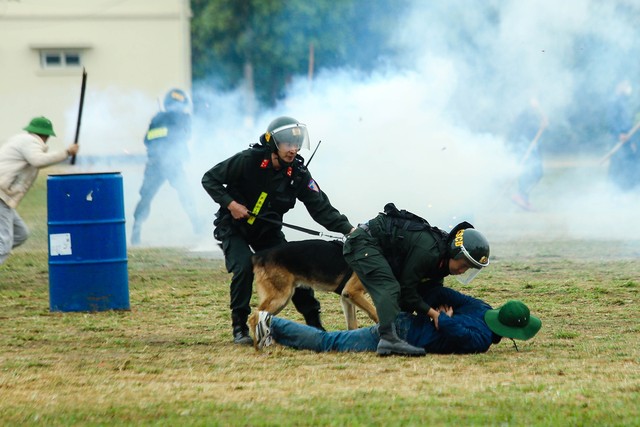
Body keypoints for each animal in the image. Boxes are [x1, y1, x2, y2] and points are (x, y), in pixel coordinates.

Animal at [249, 239, 380, 332]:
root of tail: (261, 254)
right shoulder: (352, 292)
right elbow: (375, 313)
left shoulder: (346, 298)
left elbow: (352, 325)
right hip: (280, 298)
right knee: (253, 318)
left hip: (283, 300)